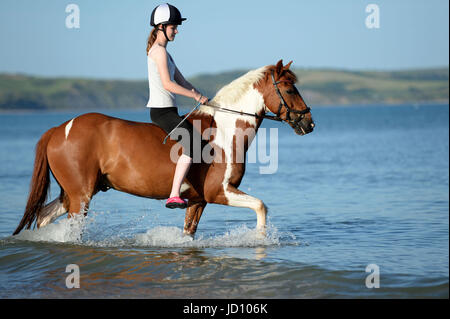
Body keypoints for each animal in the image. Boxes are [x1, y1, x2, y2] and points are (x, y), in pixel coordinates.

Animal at [13, 61, 312, 239]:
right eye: (289, 88)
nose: (309, 123)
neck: (224, 130)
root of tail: (60, 128)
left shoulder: (198, 201)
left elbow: (188, 235)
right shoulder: (219, 192)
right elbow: (261, 206)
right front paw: (260, 241)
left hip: (75, 193)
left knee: (43, 216)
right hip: (80, 196)